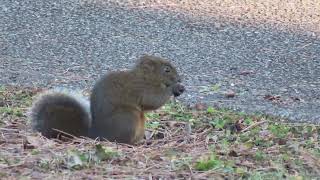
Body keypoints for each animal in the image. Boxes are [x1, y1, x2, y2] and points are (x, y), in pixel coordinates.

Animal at [30, 54, 185, 144]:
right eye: (166, 70)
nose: (180, 79)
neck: (145, 77)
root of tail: (97, 135)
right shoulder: (140, 89)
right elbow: (153, 101)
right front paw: (174, 88)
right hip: (128, 119)